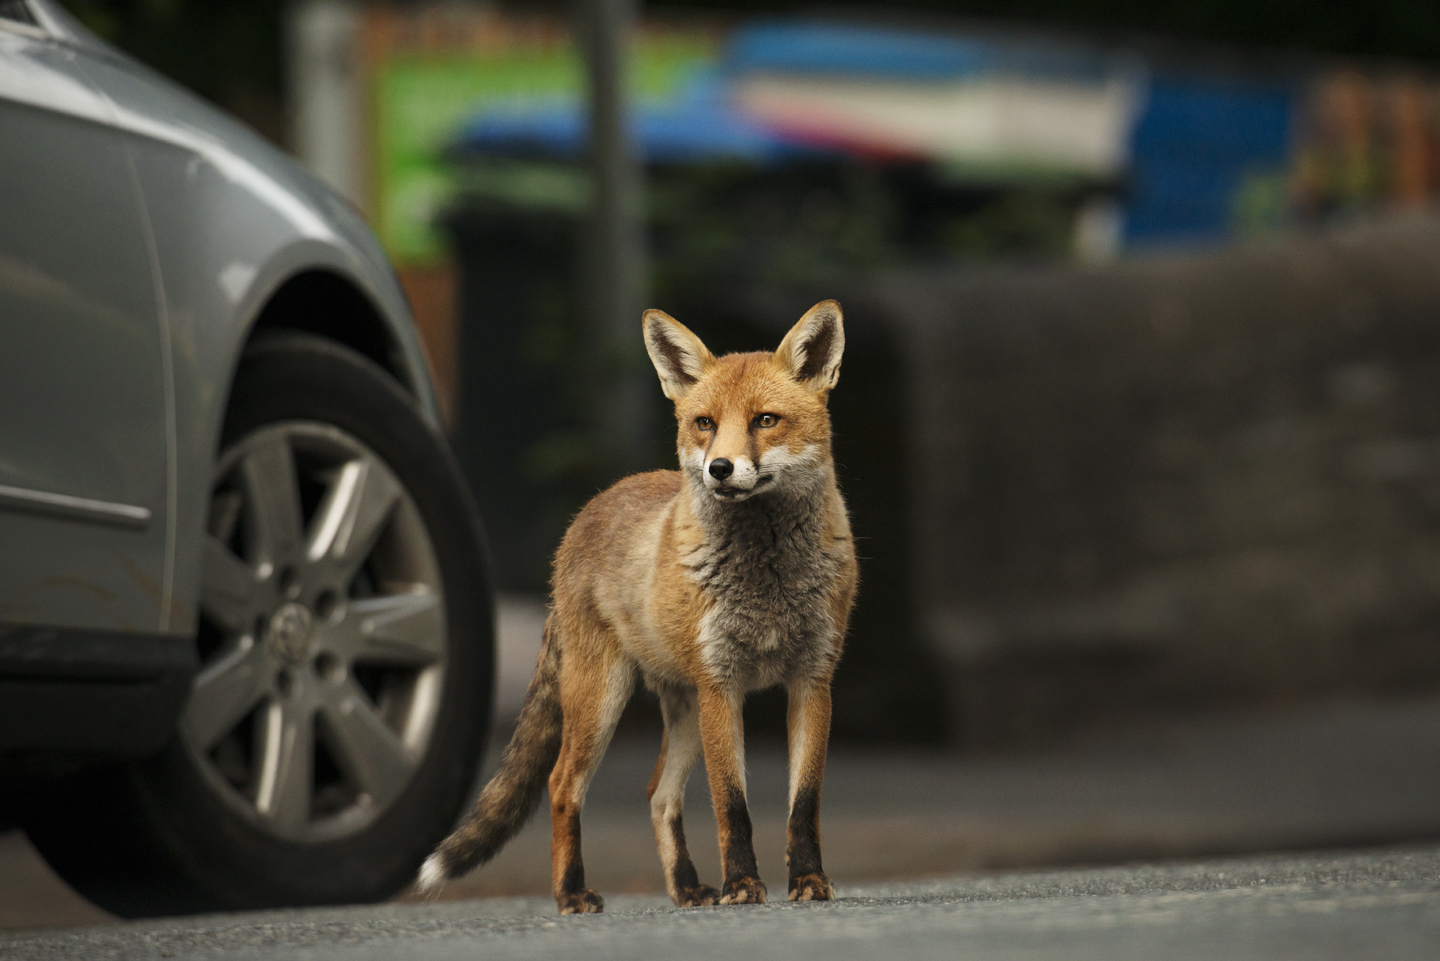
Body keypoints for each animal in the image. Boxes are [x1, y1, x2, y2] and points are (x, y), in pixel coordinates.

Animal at [417, 301, 852, 916]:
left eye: (765, 420)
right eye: (705, 423)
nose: (720, 469)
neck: (767, 579)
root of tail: (590, 508)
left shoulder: (812, 680)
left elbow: (804, 804)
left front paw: (808, 880)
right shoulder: (722, 685)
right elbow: (732, 805)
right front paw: (743, 885)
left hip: (683, 709)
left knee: (658, 794)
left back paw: (687, 887)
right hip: (602, 698)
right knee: (562, 786)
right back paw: (572, 893)